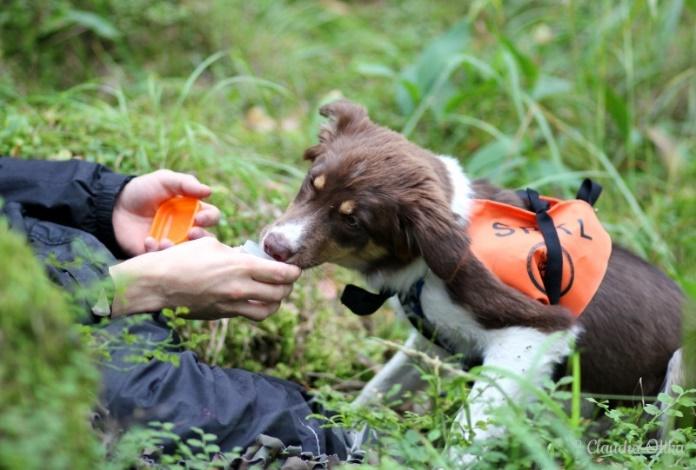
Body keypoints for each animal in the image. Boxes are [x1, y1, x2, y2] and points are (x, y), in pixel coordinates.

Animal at [264, 99, 684, 456]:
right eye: (311, 183)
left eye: (352, 221)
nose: (272, 246)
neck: (426, 261)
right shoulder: (433, 340)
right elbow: (379, 388)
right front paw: (342, 425)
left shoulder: (536, 332)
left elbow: (468, 432)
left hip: (678, 369)